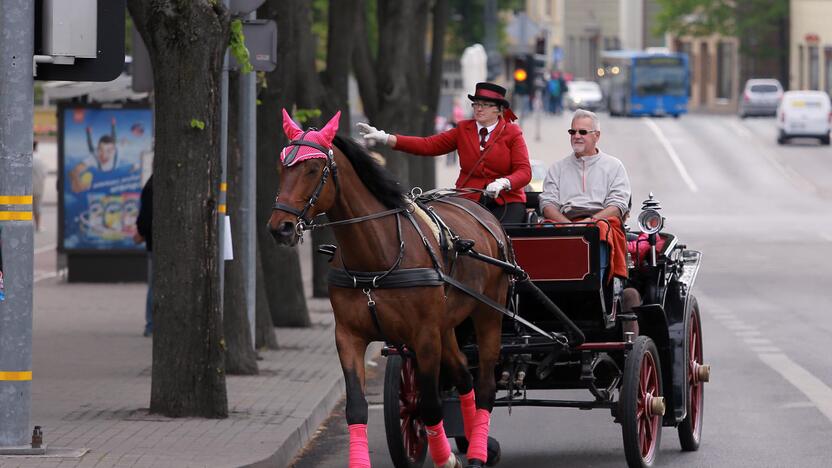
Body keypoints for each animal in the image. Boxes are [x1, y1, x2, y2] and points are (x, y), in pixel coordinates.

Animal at [270, 110, 510, 468]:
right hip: (447, 326)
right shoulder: (349, 336)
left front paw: (444, 458)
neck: (376, 256)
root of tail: (483, 212)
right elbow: (357, 408)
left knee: (484, 387)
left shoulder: (424, 337)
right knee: (463, 376)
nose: (280, 228)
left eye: (313, 169)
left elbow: (429, 406)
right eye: (282, 166)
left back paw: (479, 452)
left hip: (487, 316)